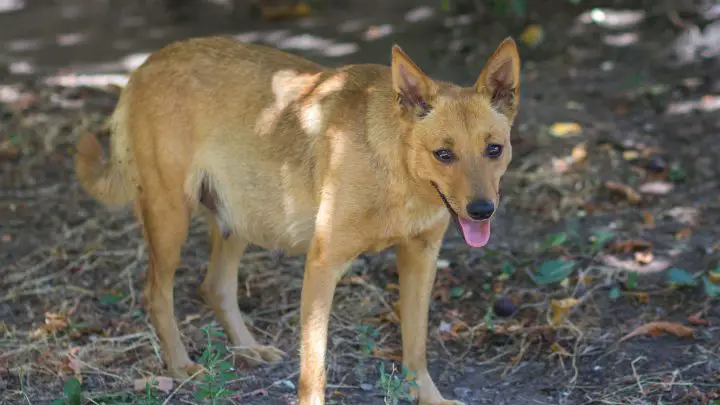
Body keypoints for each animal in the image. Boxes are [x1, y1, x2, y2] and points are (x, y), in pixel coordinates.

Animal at [76, 35, 520, 404]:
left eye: (494, 150)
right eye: (443, 154)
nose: (483, 211)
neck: (399, 173)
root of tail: (146, 64)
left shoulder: (420, 259)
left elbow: (416, 348)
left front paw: (429, 398)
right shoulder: (323, 266)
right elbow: (314, 368)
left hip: (241, 218)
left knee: (215, 286)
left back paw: (248, 347)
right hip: (171, 220)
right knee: (157, 294)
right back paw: (181, 365)